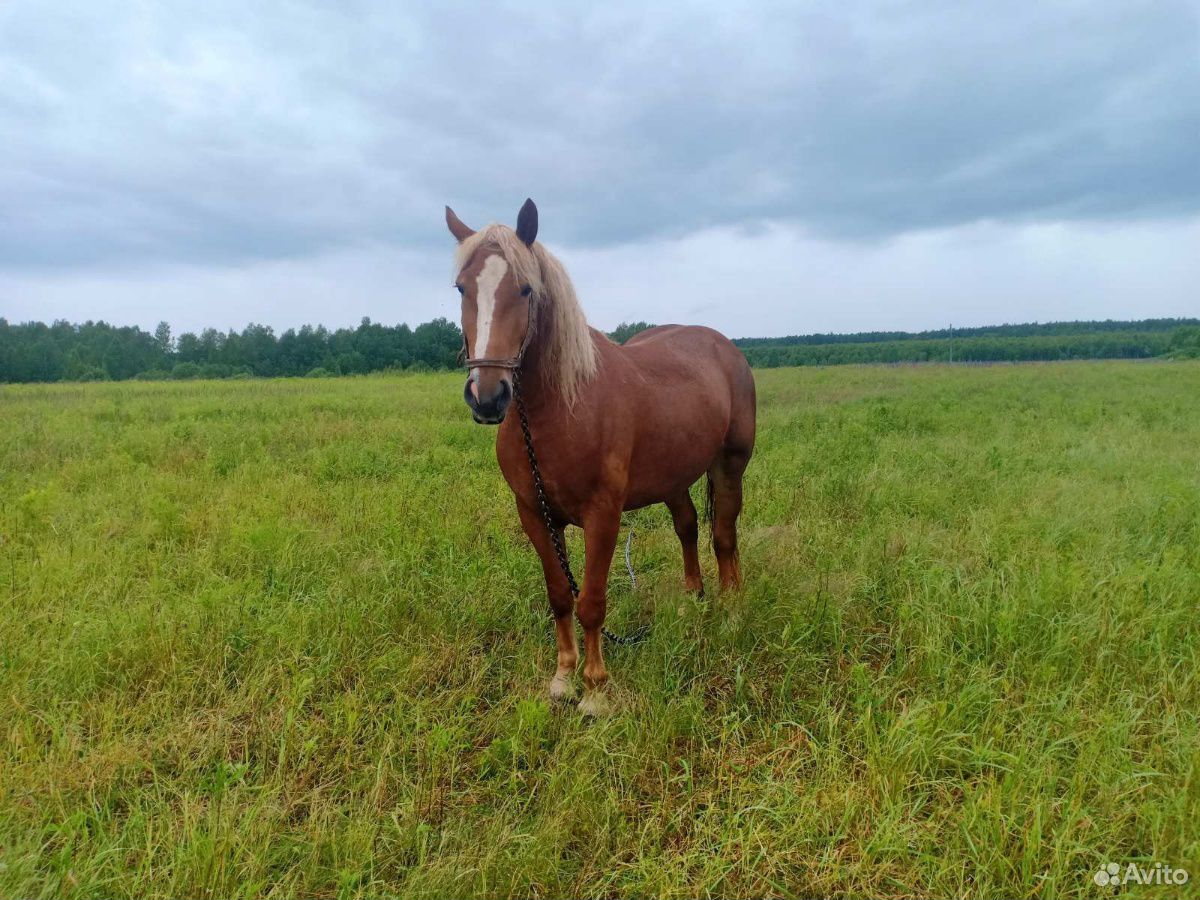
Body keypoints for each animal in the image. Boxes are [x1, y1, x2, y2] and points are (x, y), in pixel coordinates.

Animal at [446, 199, 753, 720]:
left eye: (525, 289)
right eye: (462, 287)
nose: (487, 397)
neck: (560, 408)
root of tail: (724, 347)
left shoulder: (602, 515)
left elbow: (590, 599)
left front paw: (594, 691)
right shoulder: (534, 513)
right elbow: (558, 595)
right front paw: (562, 679)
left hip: (729, 464)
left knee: (724, 534)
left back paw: (731, 611)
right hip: (673, 477)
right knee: (688, 526)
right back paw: (691, 599)